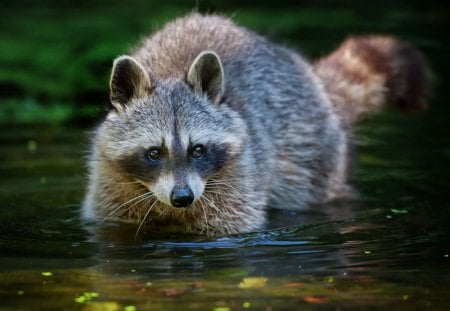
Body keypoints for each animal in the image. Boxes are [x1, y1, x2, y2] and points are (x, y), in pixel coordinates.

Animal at [82, 13, 430, 235]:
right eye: (154, 152)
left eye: (198, 150)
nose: (183, 197)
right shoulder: (109, 182)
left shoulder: (239, 177)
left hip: (313, 148)